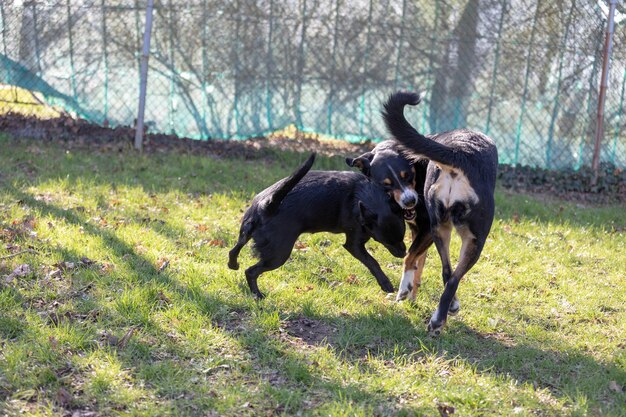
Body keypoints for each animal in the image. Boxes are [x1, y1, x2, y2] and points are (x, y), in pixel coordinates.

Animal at [228, 153, 404, 300]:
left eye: (402, 237)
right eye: (386, 242)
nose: (403, 254)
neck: (365, 194)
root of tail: (268, 204)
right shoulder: (354, 245)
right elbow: (372, 262)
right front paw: (385, 283)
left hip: (246, 232)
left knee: (234, 250)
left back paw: (233, 265)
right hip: (278, 255)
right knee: (251, 271)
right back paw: (257, 295)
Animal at [344, 142, 432, 302]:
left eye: (407, 175)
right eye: (386, 184)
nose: (410, 201)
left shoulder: (429, 228)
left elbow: (410, 257)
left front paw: (404, 288)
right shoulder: (418, 230)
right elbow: (417, 264)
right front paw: (411, 295)